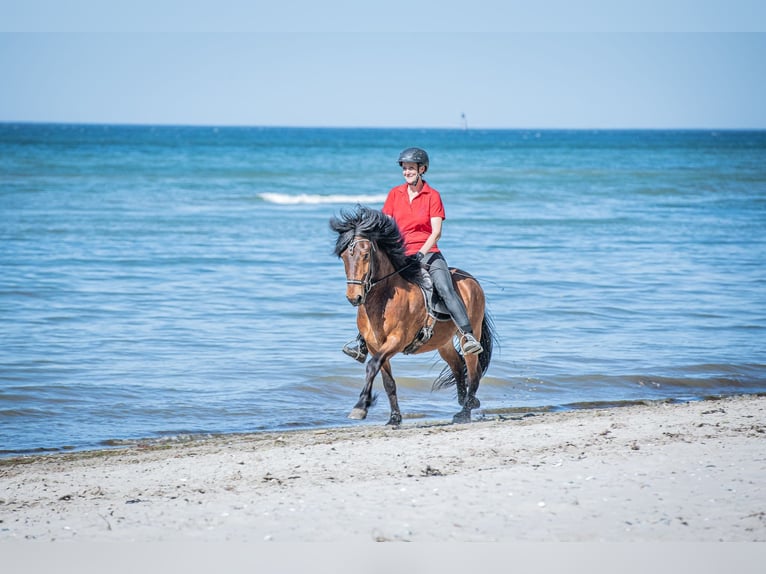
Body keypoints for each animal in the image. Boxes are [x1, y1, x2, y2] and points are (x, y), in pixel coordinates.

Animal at [330, 207, 498, 428]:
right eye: (342, 257)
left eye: (365, 255)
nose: (354, 297)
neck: (384, 298)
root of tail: (472, 280)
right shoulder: (375, 345)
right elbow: (387, 382)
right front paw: (394, 417)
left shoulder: (396, 340)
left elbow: (372, 366)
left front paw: (360, 407)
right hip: (443, 342)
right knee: (456, 365)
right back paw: (465, 401)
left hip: (470, 333)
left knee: (473, 371)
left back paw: (466, 410)